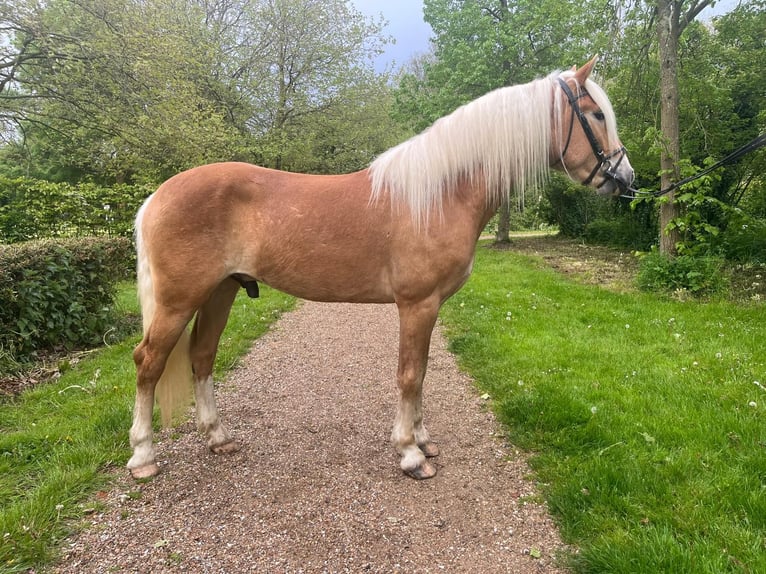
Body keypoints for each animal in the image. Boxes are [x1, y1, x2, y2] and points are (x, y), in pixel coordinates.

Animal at [127, 57, 636, 482]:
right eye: (594, 114)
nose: (626, 179)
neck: (439, 194)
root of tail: (157, 196)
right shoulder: (417, 304)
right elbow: (409, 374)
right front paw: (410, 454)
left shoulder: (430, 307)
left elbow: (423, 371)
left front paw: (424, 441)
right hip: (179, 301)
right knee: (148, 362)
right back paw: (143, 457)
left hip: (221, 291)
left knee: (202, 357)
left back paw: (218, 438)